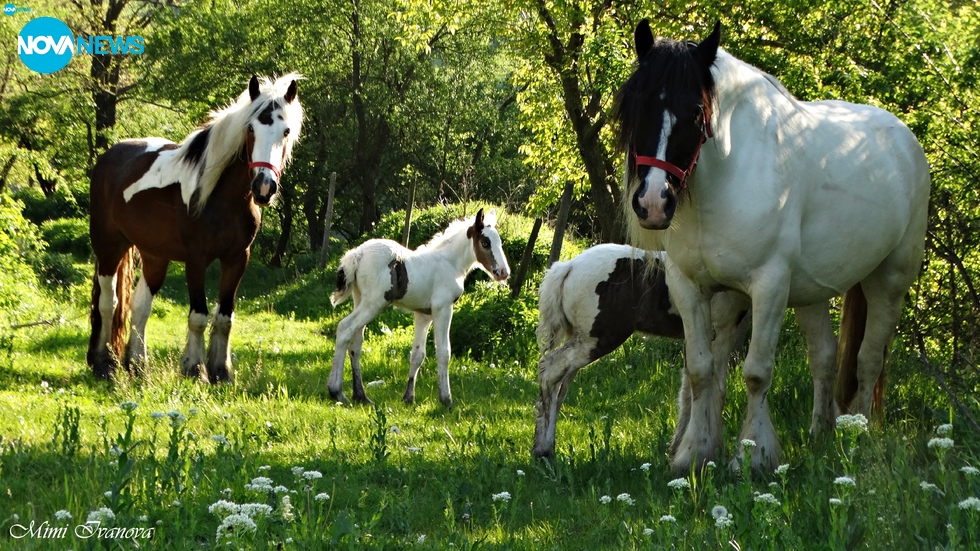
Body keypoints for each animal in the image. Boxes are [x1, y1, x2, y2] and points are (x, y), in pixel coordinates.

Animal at [87, 73, 302, 384]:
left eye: (286, 131)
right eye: (251, 128)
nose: (264, 187)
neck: (221, 197)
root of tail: (110, 155)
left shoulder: (237, 259)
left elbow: (224, 317)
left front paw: (221, 371)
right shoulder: (196, 259)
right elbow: (198, 316)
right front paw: (194, 368)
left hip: (155, 256)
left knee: (139, 306)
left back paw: (137, 364)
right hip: (108, 247)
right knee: (109, 302)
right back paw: (104, 362)